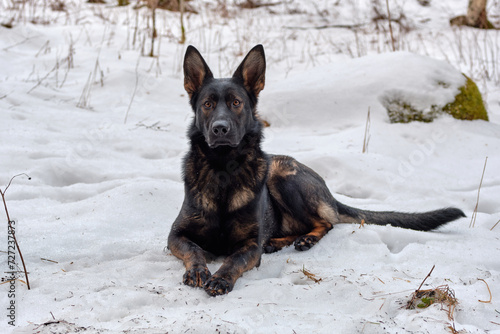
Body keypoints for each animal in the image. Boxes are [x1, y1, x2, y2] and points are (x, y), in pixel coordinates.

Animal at [168, 45, 464, 298]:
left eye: (236, 103)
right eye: (207, 104)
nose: (220, 129)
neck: (223, 169)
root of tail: (328, 191)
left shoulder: (250, 245)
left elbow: (234, 260)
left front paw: (220, 278)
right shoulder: (175, 235)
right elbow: (193, 249)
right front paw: (198, 270)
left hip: (282, 177)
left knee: (326, 222)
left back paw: (305, 240)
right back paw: (278, 242)